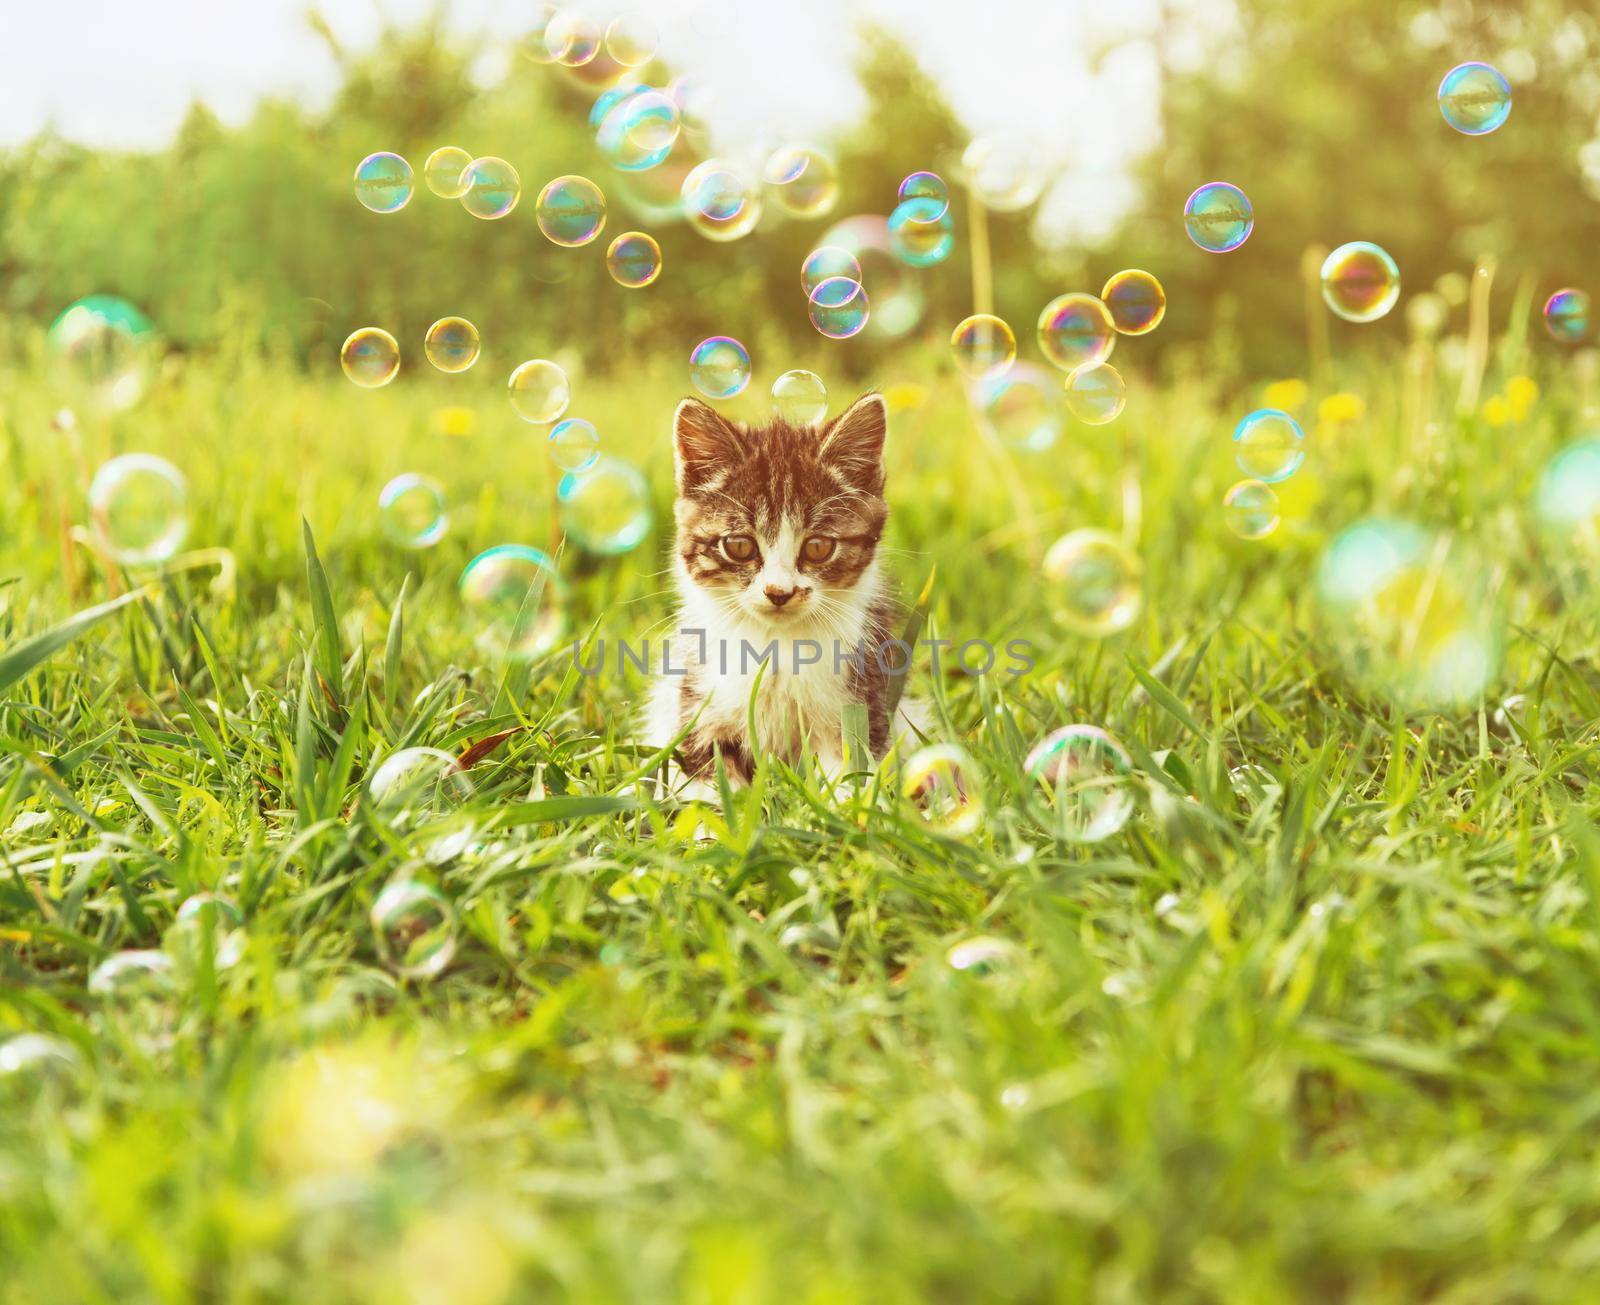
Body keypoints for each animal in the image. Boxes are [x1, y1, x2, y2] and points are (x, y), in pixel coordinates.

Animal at [646, 391, 928, 790]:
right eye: (739, 546)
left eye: (818, 547)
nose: (779, 592)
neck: (775, 644)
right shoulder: (696, 701)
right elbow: (705, 782)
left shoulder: (860, 700)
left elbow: (850, 778)